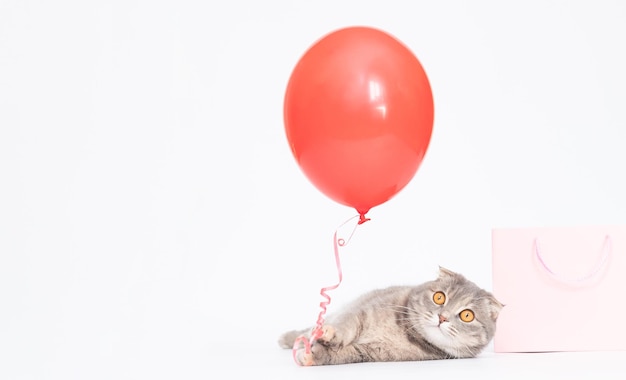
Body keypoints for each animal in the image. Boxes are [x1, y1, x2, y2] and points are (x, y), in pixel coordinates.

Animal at [278, 268, 502, 366]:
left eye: (467, 315)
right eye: (439, 297)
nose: (442, 317)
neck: (403, 333)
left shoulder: (371, 352)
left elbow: (341, 354)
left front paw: (312, 355)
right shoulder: (360, 312)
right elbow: (344, 326)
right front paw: (326, 334)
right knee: (308, 330)